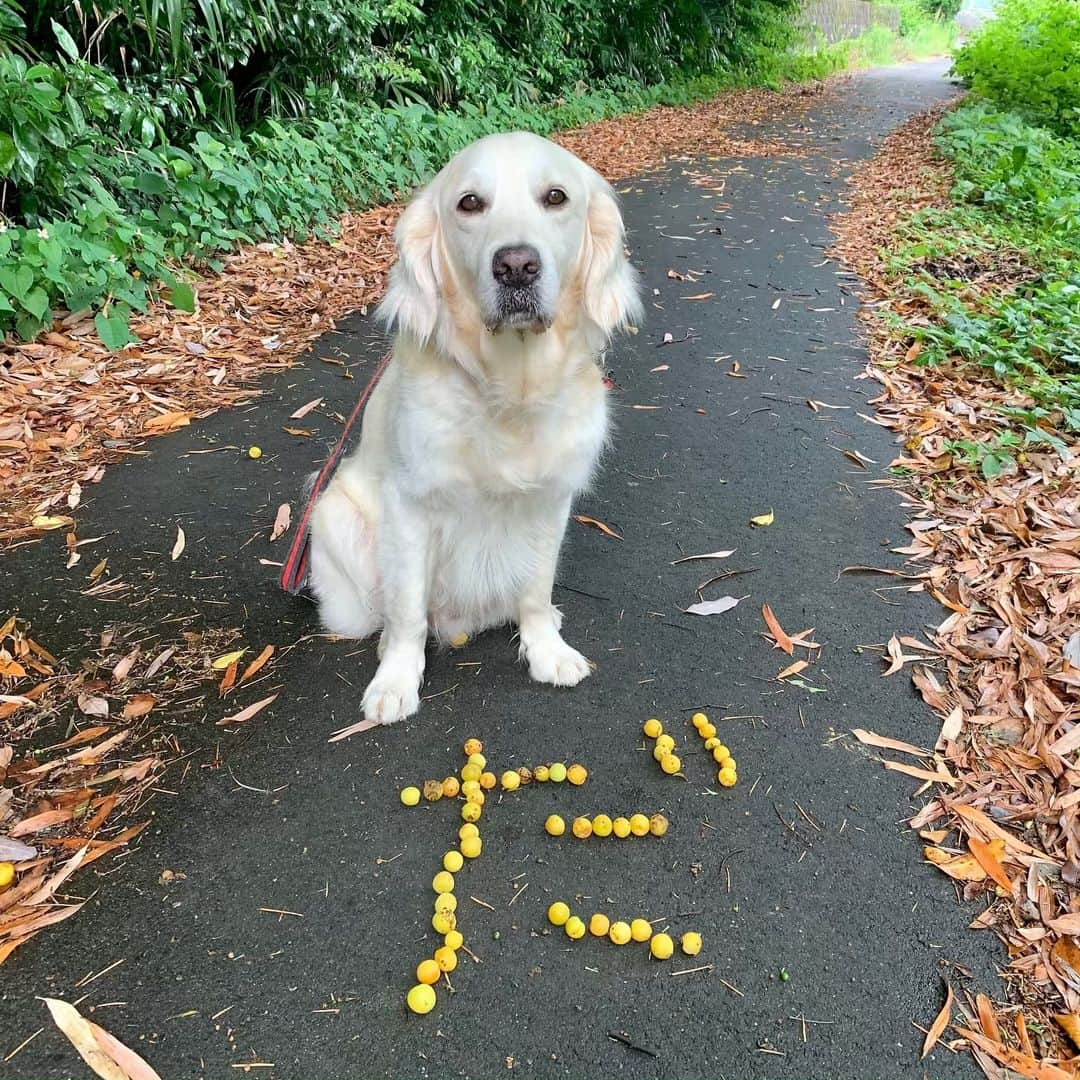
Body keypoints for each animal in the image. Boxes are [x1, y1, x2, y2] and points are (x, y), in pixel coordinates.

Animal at [306, 132, 639, 725]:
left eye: (556, 197)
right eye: (469, 204)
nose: (516, 266)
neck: (510, 387)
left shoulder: (550, 500)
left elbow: (535, 587)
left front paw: (546, 651)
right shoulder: (410, 507)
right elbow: (408, 611)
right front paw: (396, 680)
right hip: (336, 522)